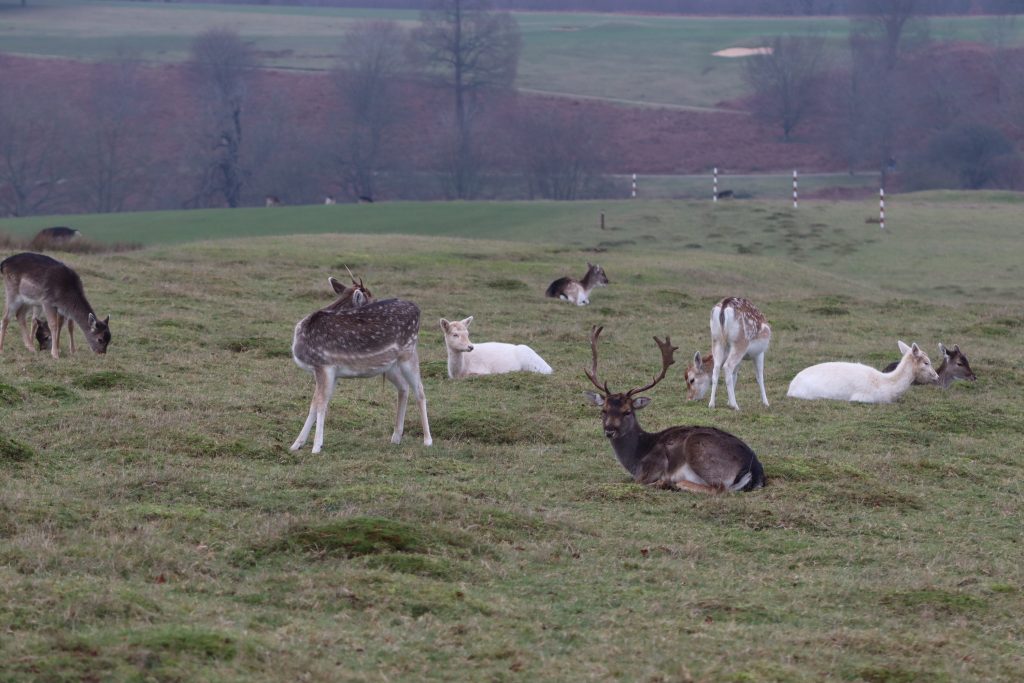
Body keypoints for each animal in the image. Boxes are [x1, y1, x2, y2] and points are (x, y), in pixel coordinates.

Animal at [290, 273, 432, 453]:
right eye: (372, 299)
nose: (378, 300)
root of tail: (418, 310)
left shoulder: (324, 365)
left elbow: (319, 404)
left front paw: (316, 447)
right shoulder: (331, 372)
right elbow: (316, 403)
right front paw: (296, 444)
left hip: (409, 353)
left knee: (419, 390)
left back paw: (427, 440)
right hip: (390, 366)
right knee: (404, 387)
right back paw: (396, 437)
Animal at [583, 326, 766, 494]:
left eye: (627, 411)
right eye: (603, 410)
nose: (609, 430)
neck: (637, 457)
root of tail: (754, 470)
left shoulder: (652, 467)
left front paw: (664, 481)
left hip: (697, 448)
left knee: (719, 488)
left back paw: (674, 483)